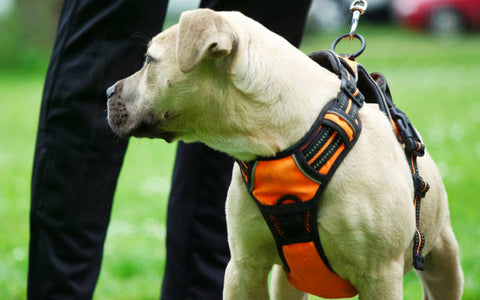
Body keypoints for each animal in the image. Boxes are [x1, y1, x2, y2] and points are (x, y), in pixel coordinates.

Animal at [107, 8, 464, 298]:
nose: (109, 90)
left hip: (445, 263)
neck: (286, 142)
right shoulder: (243, 268)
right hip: (288, 280)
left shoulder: (380, 277)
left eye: (149, 61)